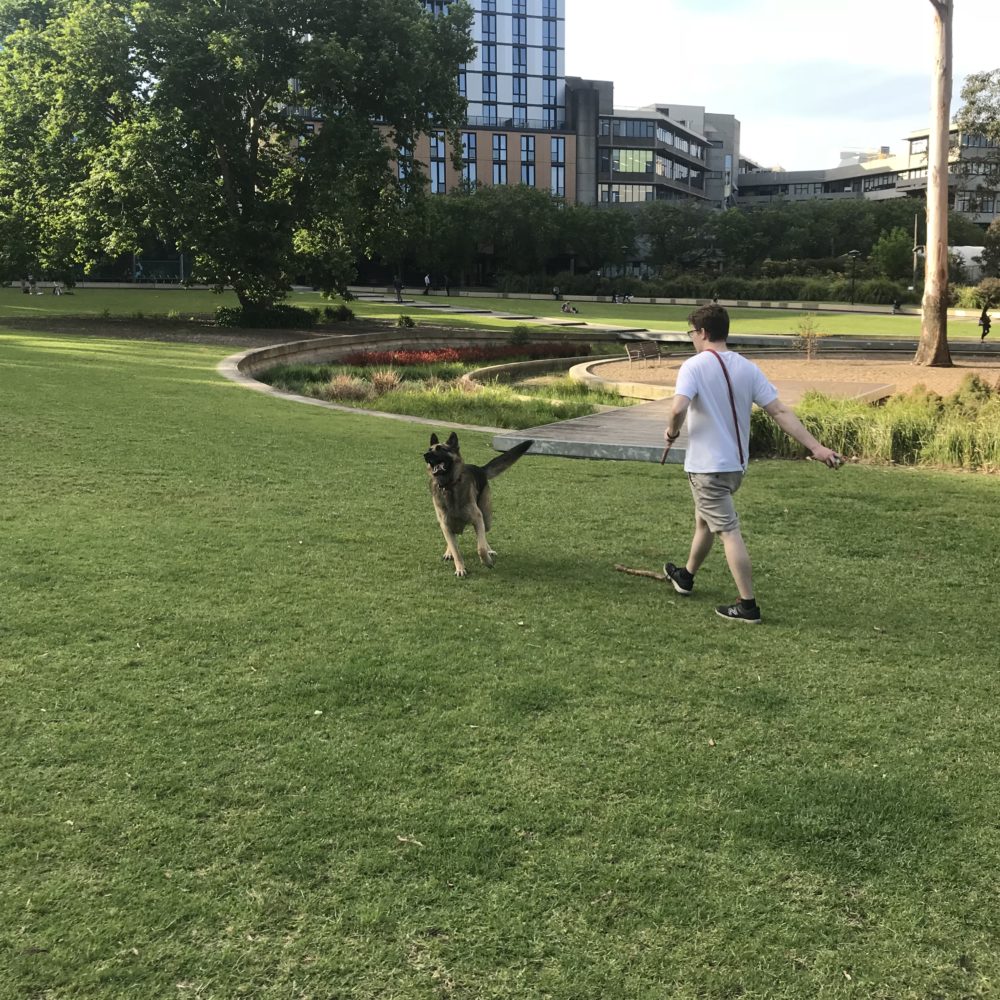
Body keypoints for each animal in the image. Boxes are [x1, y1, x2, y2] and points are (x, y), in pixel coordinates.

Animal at [422, 432, 532, 580]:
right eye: (429, 449)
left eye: (441, 449)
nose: (425, 455)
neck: (449, 487)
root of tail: (480, 468)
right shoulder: (445, 524)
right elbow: (455, 549)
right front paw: (460, 567)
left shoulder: (477, 519)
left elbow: (481, 547)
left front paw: (487, 561)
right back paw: (448, 551)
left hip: (486, 518)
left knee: (484, 536)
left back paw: (489, 550)